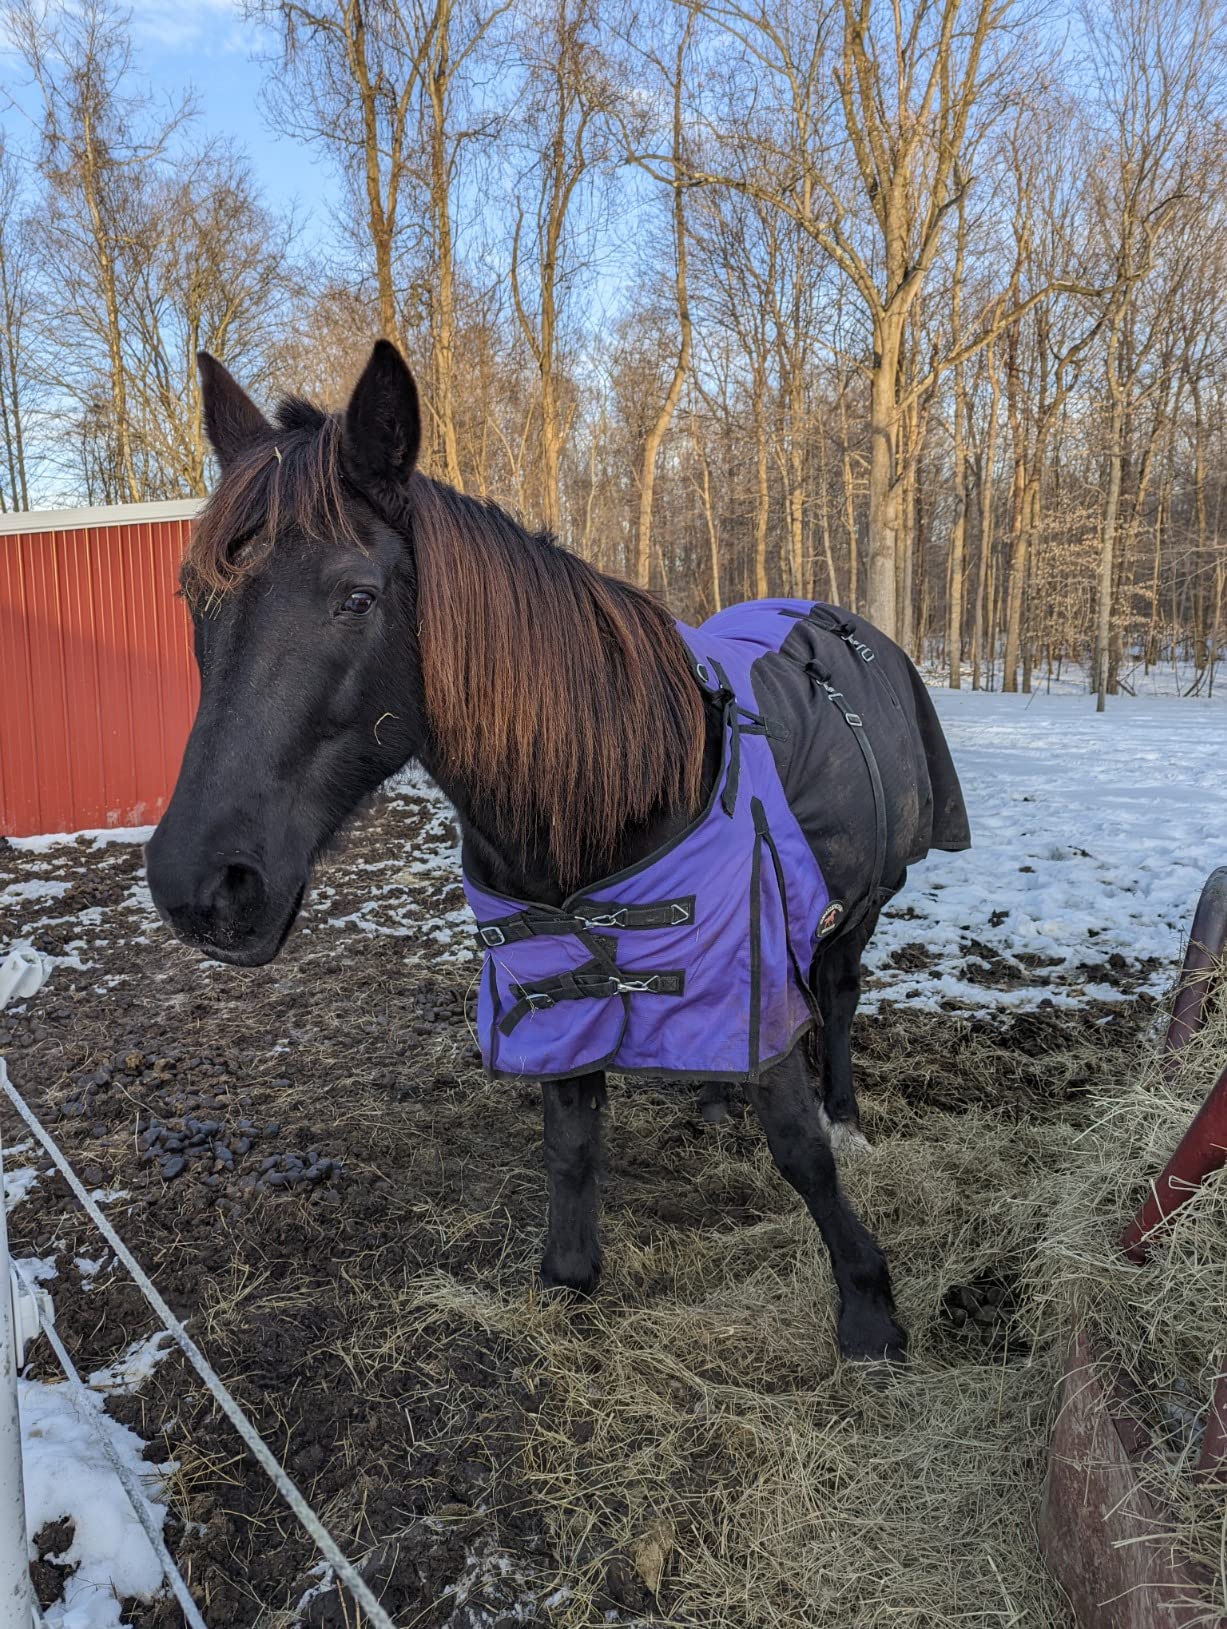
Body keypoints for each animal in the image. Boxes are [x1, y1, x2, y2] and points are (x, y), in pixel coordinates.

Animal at [146, 340, 970, 1363]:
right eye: (195, 597)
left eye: (356, 597)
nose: (199, 885)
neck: (617, 787)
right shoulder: (555, 981)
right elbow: (571, 1141)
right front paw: (567, 1282)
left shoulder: (749, 947)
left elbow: (797, 1146)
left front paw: (865, 1304)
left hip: (858, 903)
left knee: (840, 997)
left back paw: (847, 1115)